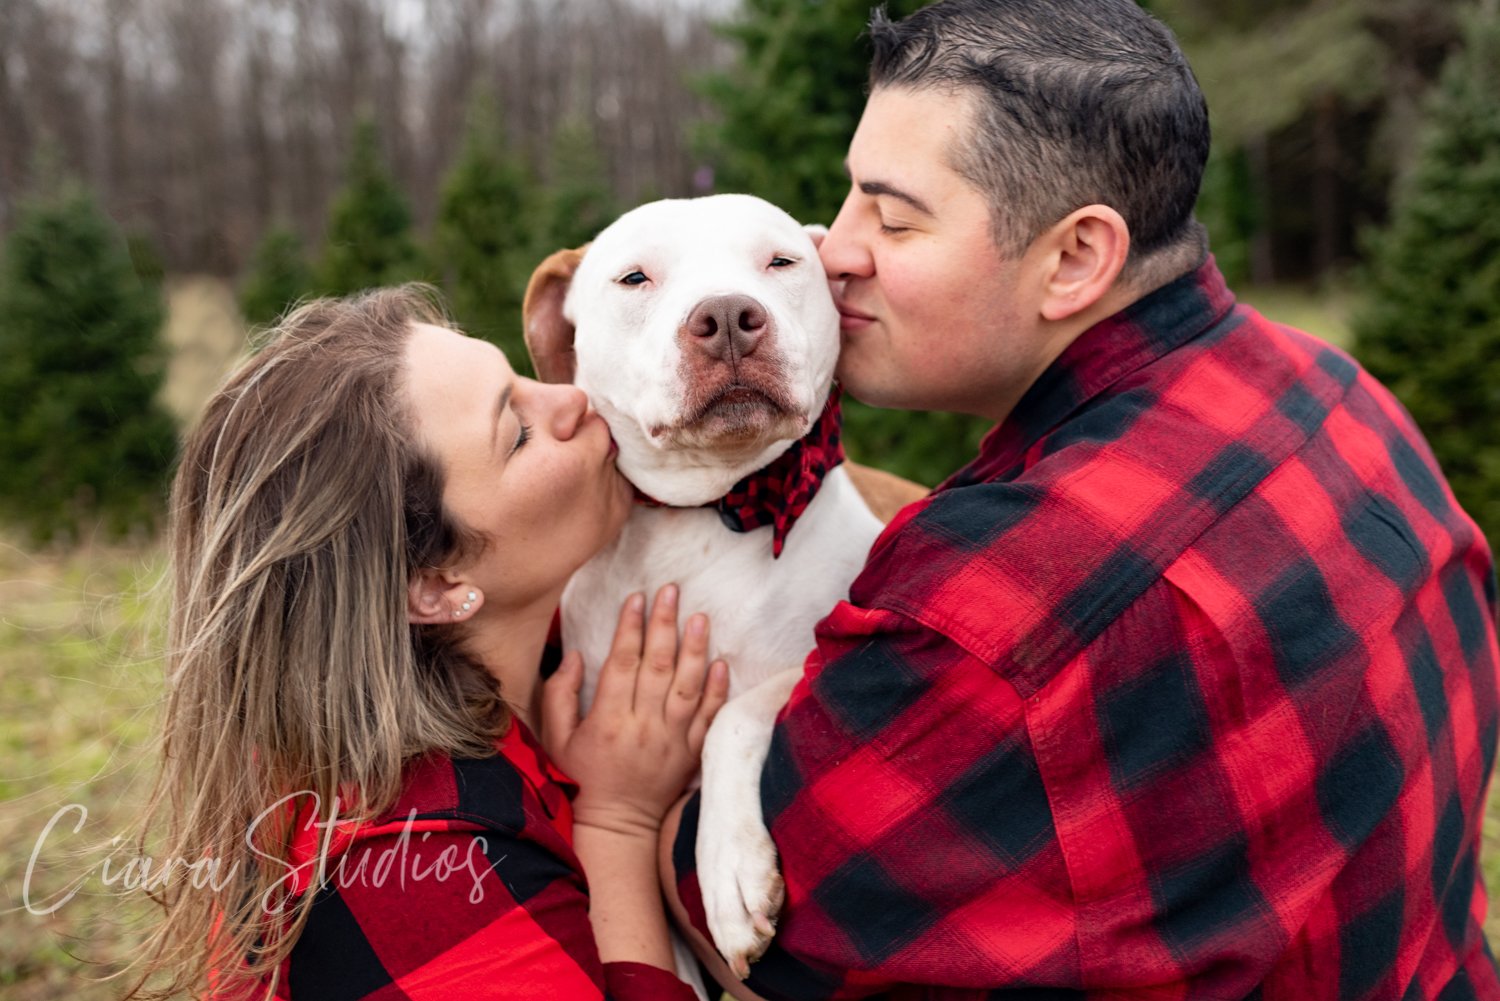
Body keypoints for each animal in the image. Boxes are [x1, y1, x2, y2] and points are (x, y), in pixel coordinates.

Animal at [525, 193, 924, 978]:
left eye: (781, 262)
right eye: (635, 278)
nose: (730, 317)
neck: (706, 513)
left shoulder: (824, 658)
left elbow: (736, 714)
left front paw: (730, 867)